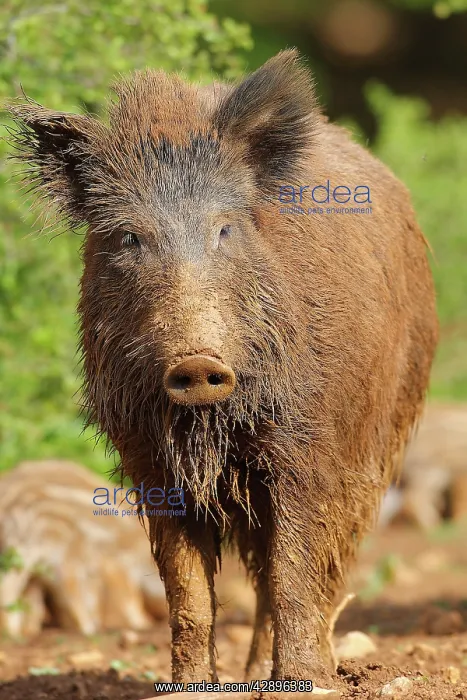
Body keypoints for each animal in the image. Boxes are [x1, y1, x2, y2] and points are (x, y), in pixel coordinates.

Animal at [8, 49, 438, 689]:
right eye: (129, 237)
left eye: (225, 229)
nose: (198, 362)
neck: (209, 426)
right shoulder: (148, 457)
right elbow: (187, 590)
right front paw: (188, 688)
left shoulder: (307, 445)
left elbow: (294, 570)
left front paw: (305, 685)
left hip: (381, 436)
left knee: (323, 565)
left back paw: (310, 672)